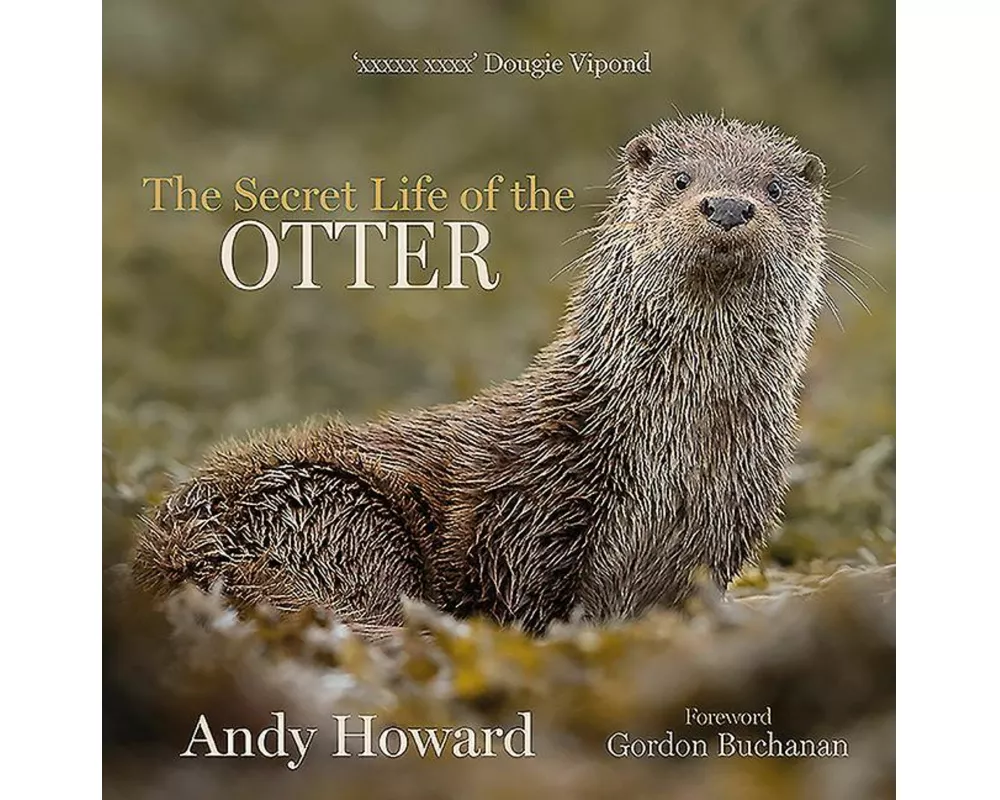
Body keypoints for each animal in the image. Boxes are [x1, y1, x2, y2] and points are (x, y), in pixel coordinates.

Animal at [132, 115, 828, 635]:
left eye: (773, 188)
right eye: (681, 178)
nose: (728, 205)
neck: (679, 452)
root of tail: (171, 550)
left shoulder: (722, 531)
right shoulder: (532, 515)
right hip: (334, 510)